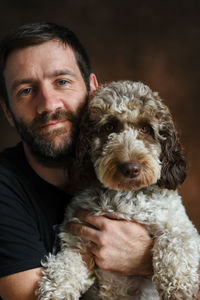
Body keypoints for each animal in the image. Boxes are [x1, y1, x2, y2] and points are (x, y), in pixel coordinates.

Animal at [36, 81, 199, 300]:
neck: (126, 195)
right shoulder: (77, 239)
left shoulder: (178, 226)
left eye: (145, 128)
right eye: (109, 127)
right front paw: (56, 289)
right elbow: (66, 265)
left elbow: (175, 246)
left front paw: (179, 286)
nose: (130, 168)